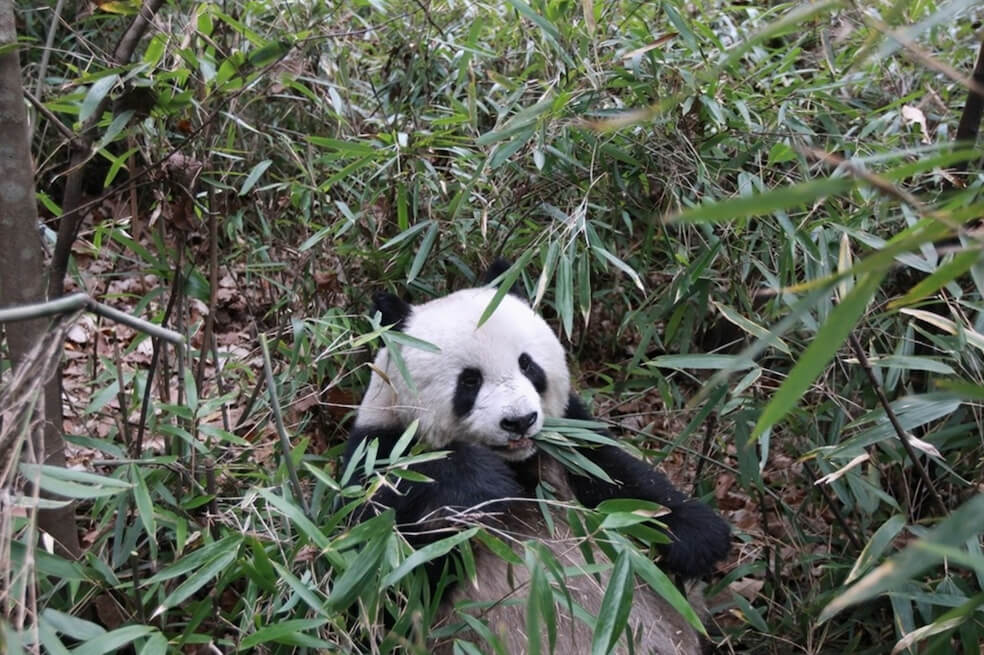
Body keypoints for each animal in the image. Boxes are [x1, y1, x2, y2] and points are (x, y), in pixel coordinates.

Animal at [344, 262, 731, 654]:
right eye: (469, 381)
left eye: (527, 365)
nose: (519, 421)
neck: (519, 461)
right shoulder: (375, 453)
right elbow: (382, 570)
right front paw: (484, 485)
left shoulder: (571, 436)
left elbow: (619, 478)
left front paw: (699, 537)